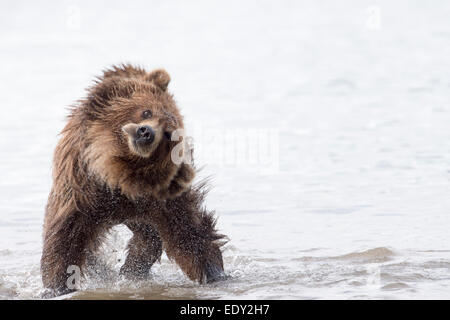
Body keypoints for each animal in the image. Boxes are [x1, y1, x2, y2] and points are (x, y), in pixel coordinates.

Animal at [40, 64, 227, 298]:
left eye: (168, 133)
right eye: (146, 111)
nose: (145, 132)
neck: (118, 174)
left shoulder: (161, 197)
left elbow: (189, 232)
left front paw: (214, 273)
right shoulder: (82, 187)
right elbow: (65, 236)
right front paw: (56, 287)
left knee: (149, 238)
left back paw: (130, 270)